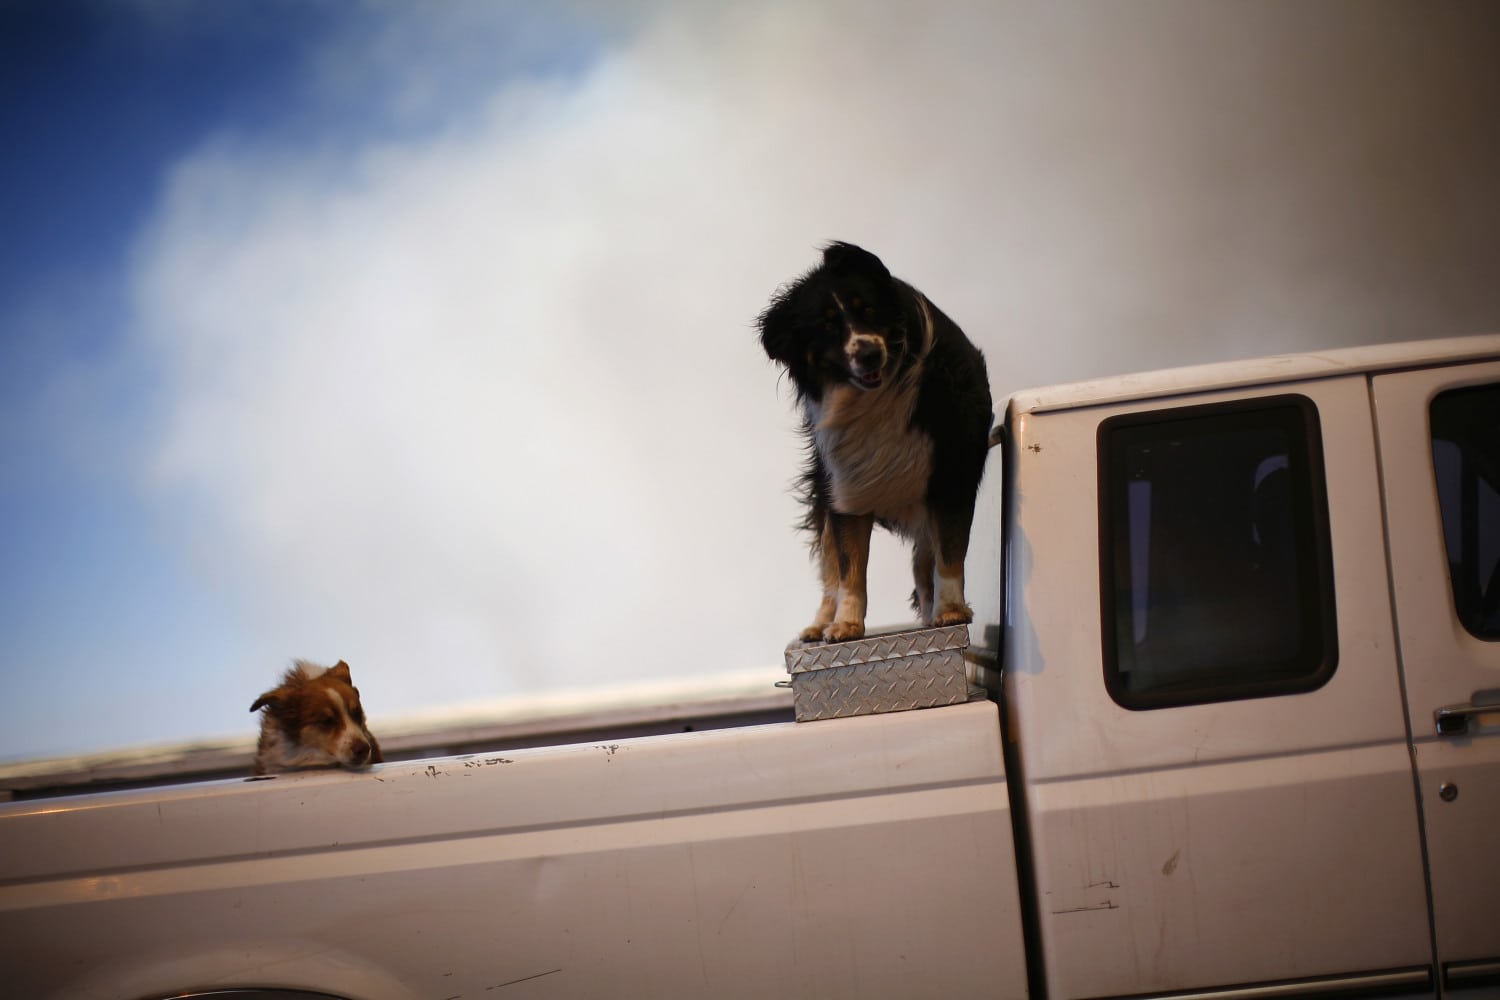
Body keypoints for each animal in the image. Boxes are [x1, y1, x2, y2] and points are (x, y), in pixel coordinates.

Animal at [762, 245, 996, 644]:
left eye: (868, 309)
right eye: (826, 326)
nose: (868, 353)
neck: (877, 395)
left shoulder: (951, 471)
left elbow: (950, 551)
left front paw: (950, 609)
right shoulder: (845, 484)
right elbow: (850, 567)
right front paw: (846, 624)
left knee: (923, 561)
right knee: (831, 571)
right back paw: (819, 623)